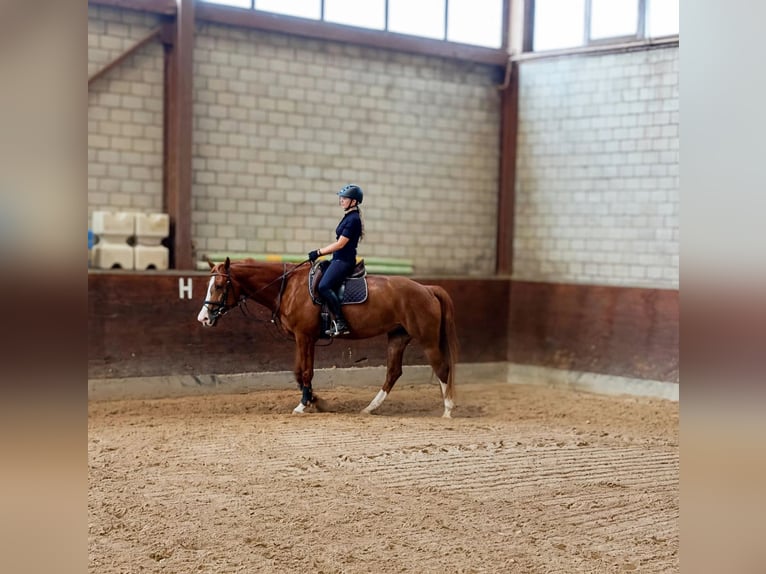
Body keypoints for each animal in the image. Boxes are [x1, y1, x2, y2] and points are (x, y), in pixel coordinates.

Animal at [196, 257, 458, 417]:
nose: (204, 318)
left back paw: (447, 409)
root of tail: (426, 288)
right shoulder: (302, 338)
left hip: (426, 339)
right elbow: (298, 371)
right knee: (393, 373)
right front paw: (315, 400)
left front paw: (303, 405)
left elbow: (305, 372)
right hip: (398, 337)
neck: (288, 286)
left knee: (442, 368)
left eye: (219, 286)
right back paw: (370, 408)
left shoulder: (305, 337)